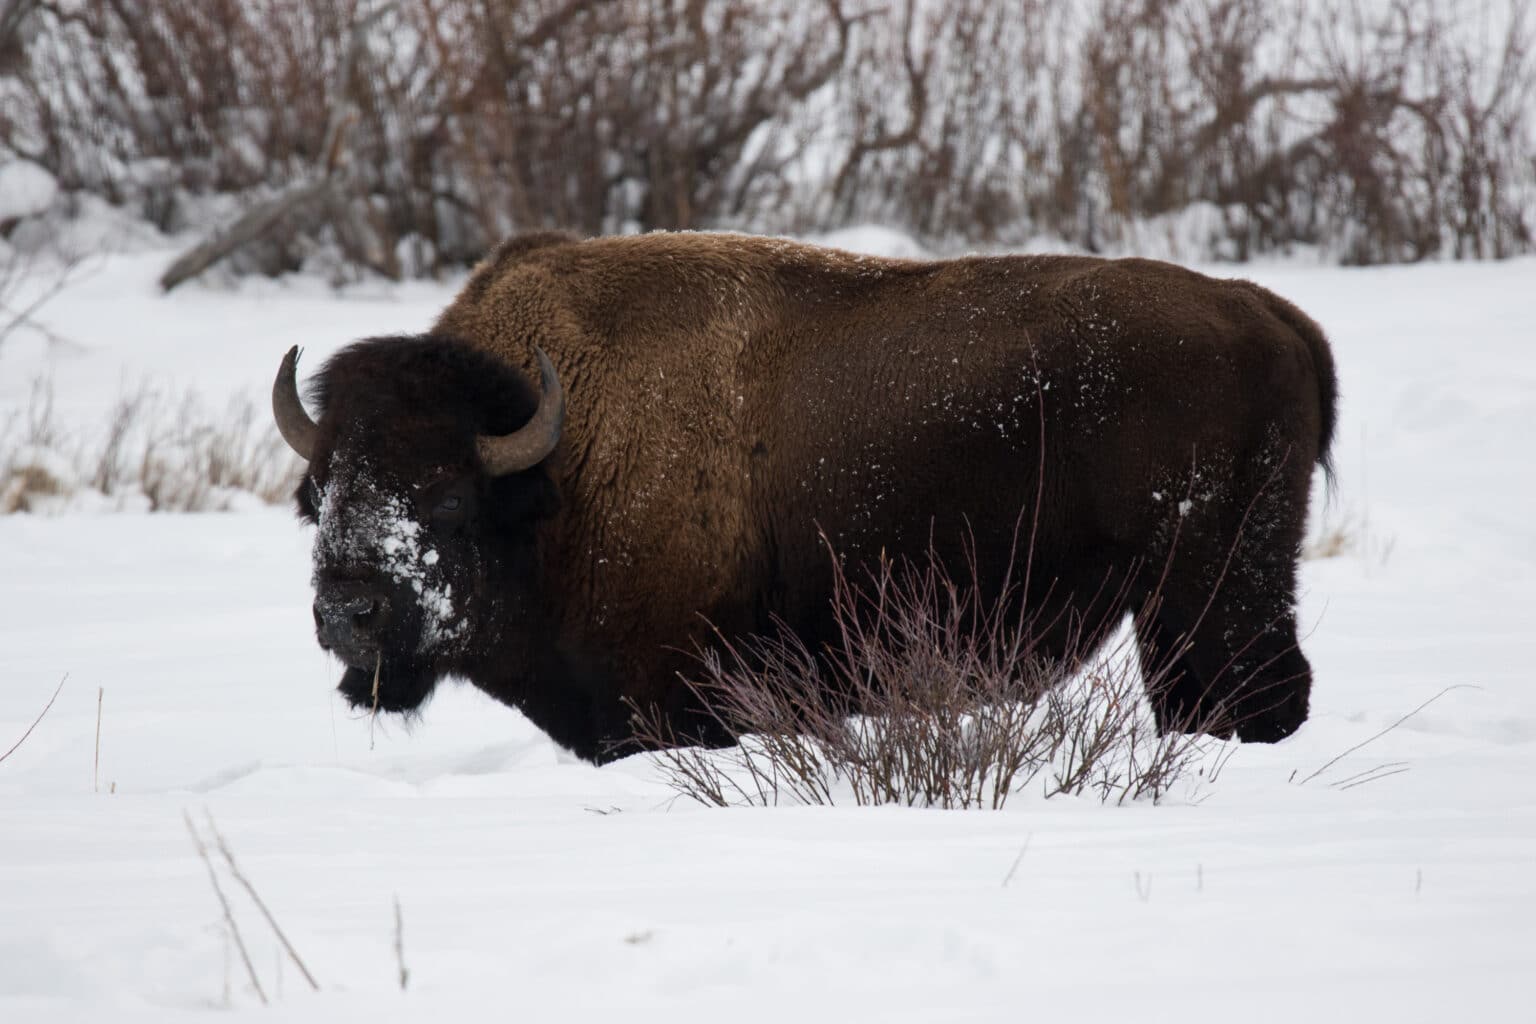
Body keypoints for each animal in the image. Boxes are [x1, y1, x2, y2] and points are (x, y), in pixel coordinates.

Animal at [273, 230, 1333, 761]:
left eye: (449, 501)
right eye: (319, 496)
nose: (348, 613)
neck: (558, 465)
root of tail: (1269, 314)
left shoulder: (666, 700)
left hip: (1210, 593)